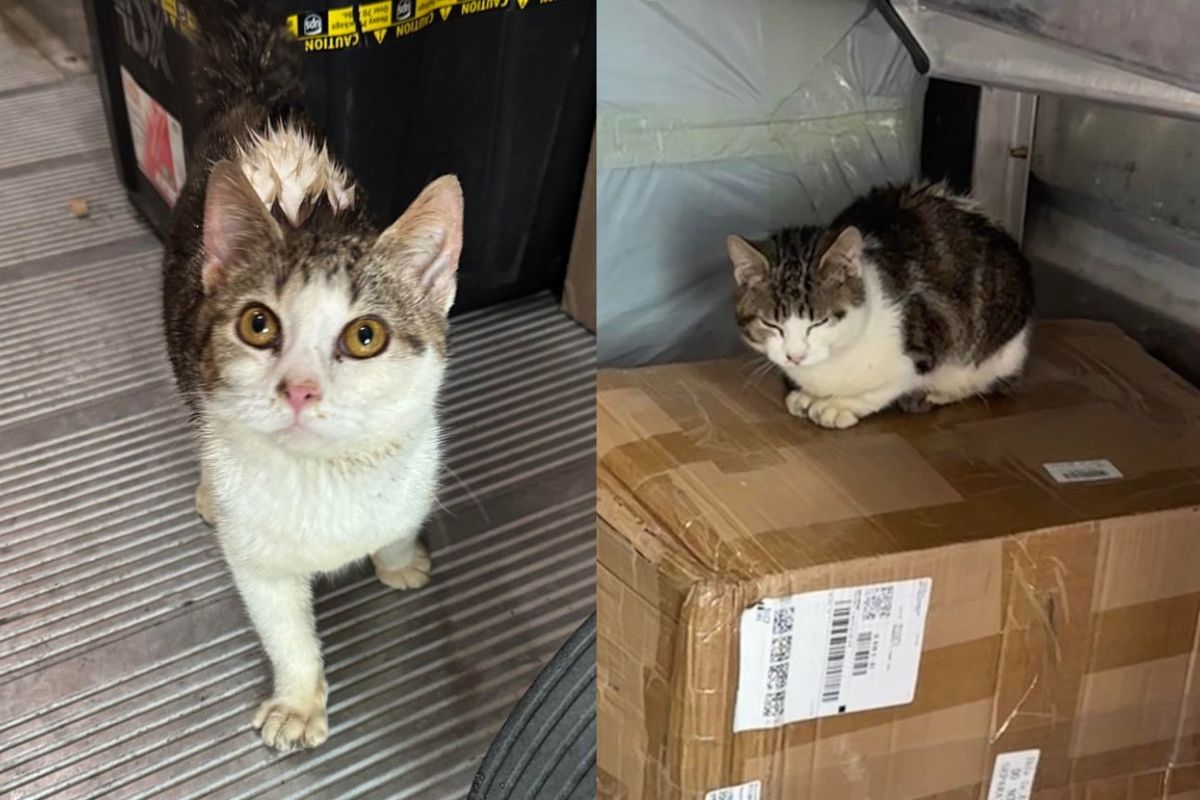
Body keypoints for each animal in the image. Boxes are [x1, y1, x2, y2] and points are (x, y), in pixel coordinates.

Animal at [159, 0, 458, 753]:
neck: (329, 478)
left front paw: (397, 559)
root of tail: (264, 106)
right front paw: (298, 700)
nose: (298, 389)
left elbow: (398, 525)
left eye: (365, 336)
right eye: (258, 325)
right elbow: (284, 628)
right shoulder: (257, 560)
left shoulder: (415, 473)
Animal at [724, 183, 1036, 429]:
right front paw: (809, 395)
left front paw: (840, 405)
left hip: (1000, 349)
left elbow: (889, 385)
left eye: (819, 322)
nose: (795, 356)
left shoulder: (923, 347)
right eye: (771, 324)